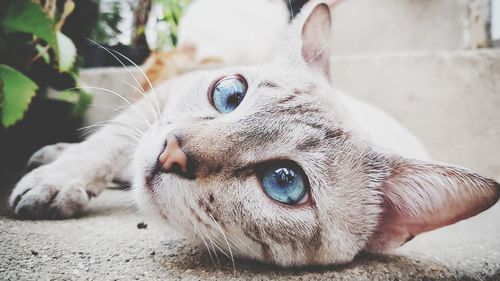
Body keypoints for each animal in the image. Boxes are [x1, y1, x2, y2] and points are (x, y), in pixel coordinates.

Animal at [7, 0, 500, 266]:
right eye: (230, 94)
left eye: (285, 182)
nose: (172, 151)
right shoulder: (158, 101)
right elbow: (107, 143)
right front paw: (57, 181)